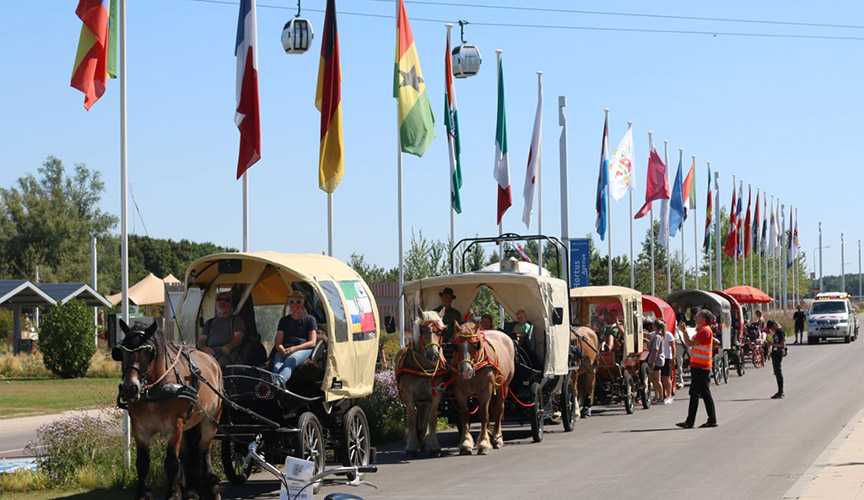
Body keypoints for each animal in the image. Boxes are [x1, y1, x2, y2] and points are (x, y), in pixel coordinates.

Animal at [113, 320, 224, 500]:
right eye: (121, 351)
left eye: (147, 351)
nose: (130, 388)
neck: (155, 390)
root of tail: (213, 361)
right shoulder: (140, 428)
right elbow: (143, 463)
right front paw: (143, 494)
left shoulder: (174, 427)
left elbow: (171, 462)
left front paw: (172, 494)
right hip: (188, 425)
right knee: (188, 455)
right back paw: (191, 491)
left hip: (211, 419)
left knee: (204, 451)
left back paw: (212, 487)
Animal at [394, 312, 448, 458]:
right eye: (422, 330)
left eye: (440, 331)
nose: (433, 355)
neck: (424, 367)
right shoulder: (408, 395)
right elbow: (412, 419)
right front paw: (411, 446)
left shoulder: (436, 394)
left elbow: (432, 419)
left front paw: (433, 446)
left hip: (425, 399)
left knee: (424, 416)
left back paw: (423, 439)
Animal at [452, 322, 512, 456]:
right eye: (456, 346)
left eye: (475, 345)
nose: (465, 371)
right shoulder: (460, 393)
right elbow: (464, 416)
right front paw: (465, 443)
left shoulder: (486, 391)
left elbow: (484, 415)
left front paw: (484, 444)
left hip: (503, 387)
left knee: (498, 411)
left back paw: (497, 438)